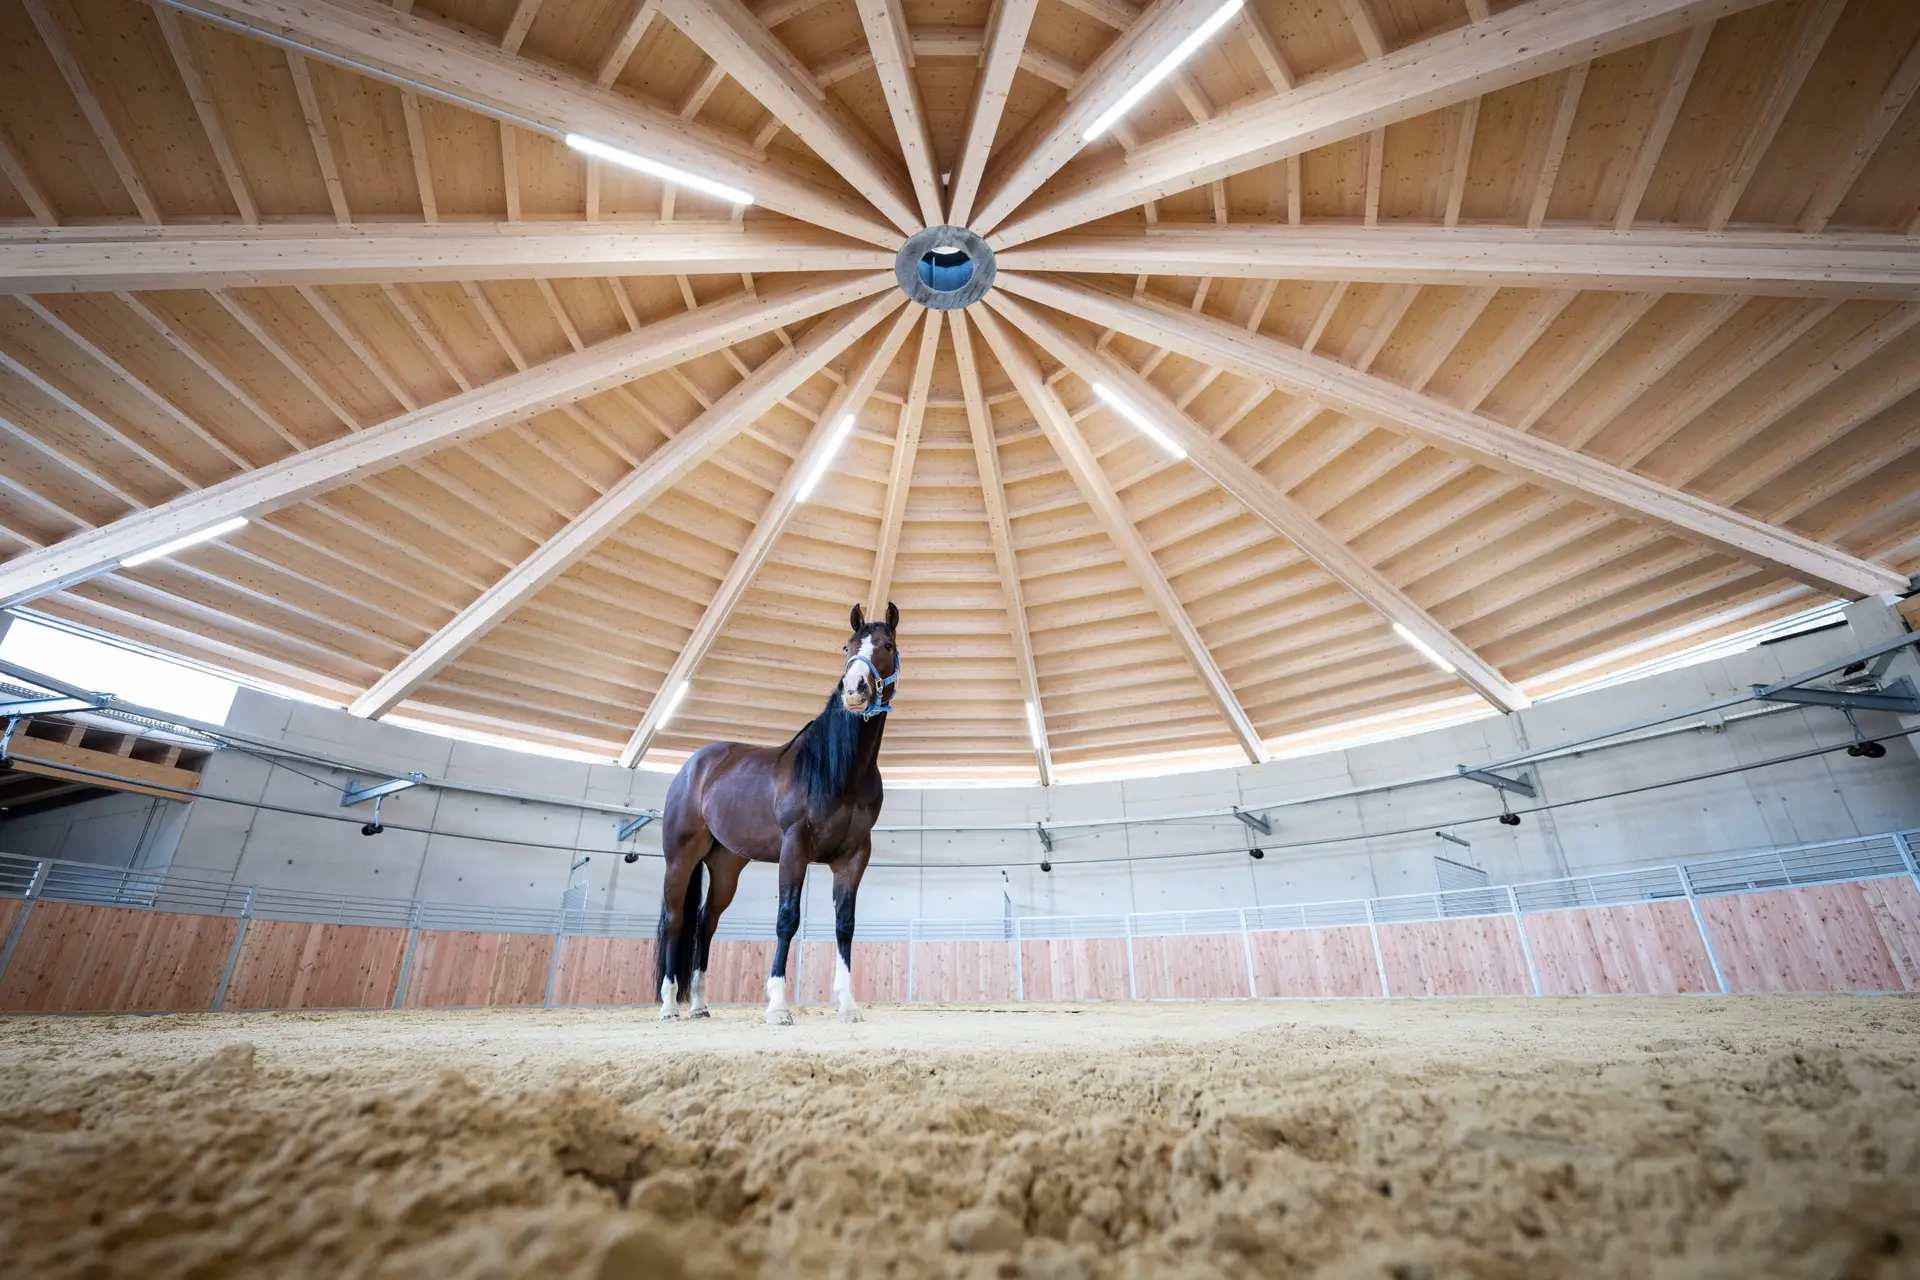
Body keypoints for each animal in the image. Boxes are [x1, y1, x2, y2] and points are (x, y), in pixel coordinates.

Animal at [652, 594, 898, 1028]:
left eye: (886, 645)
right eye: (847, 648)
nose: (854, 691)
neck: (838, 770)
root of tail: (694, 765)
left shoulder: (854, 858)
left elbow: (845, 925)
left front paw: (848, 1006)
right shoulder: (793, 849)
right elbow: (787, 918)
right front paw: (778, 1007)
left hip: (726, 865)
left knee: (705, 922)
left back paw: (699, 1005)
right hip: (680, 858)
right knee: (675, 920)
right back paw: (668, 1006)